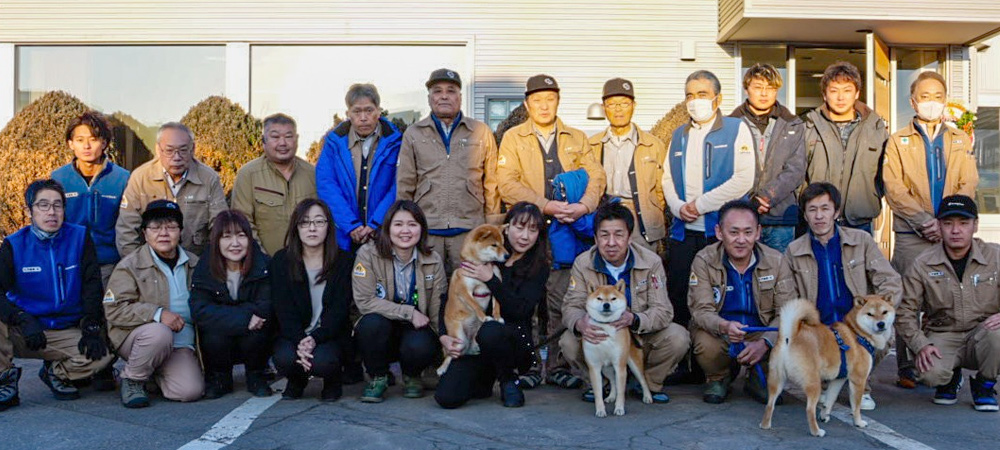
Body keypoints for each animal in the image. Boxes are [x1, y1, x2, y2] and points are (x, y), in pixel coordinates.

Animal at [435, 224, 509, 376]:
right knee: (452, 355)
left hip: (475, 336)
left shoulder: (496, 284)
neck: (482, 265)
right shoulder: (464, 290)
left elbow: (497, 305)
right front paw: (484, 316)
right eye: (494, 245)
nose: (507, 255)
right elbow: (475, 305)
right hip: (459, 340)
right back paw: (442, 367)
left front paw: (497, 317)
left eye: (503, 244)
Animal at [582, 280, 653, 417]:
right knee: (613, 381)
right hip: (607, 368)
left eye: (613, 298)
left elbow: (621, 391)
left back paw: (647, 397)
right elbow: (598, 393)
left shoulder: (620, 365)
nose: (606, 305)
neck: (605, 327)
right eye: (599, 298)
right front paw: (600, 410)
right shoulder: (594, 367)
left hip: (633, 365)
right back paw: (611, 396)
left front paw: (619, 408)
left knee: (643, 380)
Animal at [760, 295, 896, 437]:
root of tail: (789, 336)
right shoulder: (858, 379)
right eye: (870, 314)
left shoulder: (838, 379)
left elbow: (830, 399)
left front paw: (824, 416)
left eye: (884, 312)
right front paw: (858, 422)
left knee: (770, 404)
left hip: (777, 380)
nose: (881, 324)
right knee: (809, 410)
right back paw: (816, 431)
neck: (857, 333)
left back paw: (765, 425)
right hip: (814, 383)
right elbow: (856, 407)